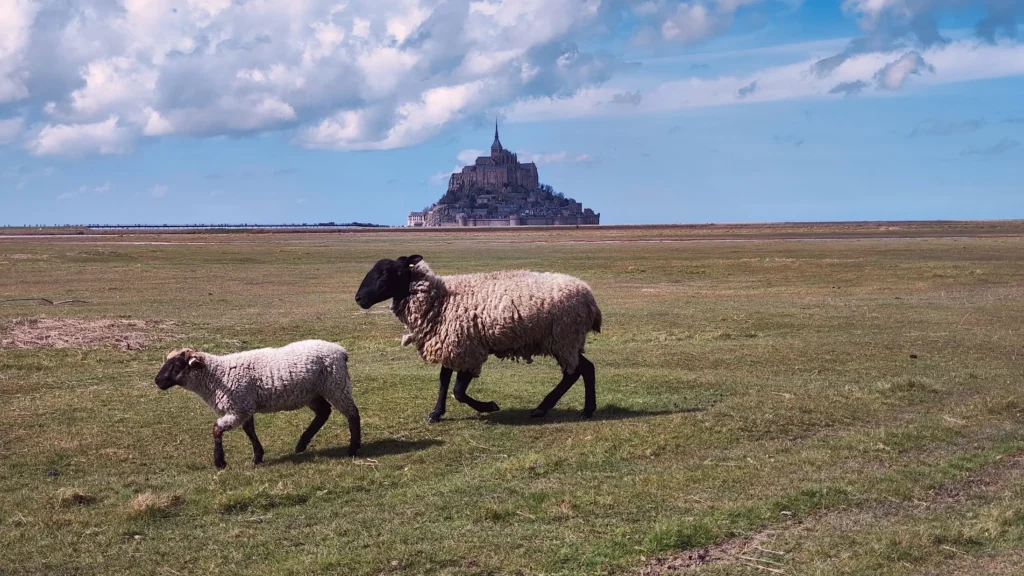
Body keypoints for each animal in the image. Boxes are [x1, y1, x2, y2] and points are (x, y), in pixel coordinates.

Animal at [153, 339, 360, 469]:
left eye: (176, 365)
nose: (157, 381)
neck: (216, 375)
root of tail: (341, 352)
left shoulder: (238, 408)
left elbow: (216, 429)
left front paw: (220, 462)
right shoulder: (245, 406)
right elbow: (249, 431)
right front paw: (257, 457)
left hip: (336, 385)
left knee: (352, 414)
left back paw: (353, 449)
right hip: (312, 392)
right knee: (324, 412)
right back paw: (302, 444)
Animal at [354, 255, 601, 423]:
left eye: (385, 273)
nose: (359, 298)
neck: (440, 299)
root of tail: (589, 297)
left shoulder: (468, 349)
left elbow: (458, 391)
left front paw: (489, 406)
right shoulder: (451, 344)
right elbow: (443, 381)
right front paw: (436, 413)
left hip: (564, 338)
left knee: (573, 373)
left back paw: (546, 407)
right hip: (565, 341)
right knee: (586, 368)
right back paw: (585, 409)